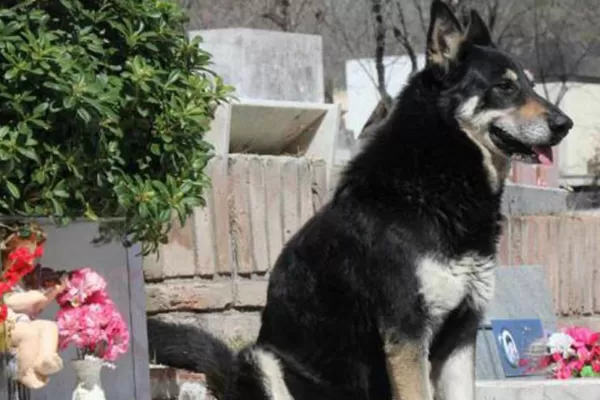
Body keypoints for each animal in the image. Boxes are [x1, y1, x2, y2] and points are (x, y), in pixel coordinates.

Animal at [148, 1, 576, 398]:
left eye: (530, 84)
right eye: (505, 86)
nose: (565, 124)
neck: (437, 179)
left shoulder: (461, 334)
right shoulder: (407, 332)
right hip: (263, 360)